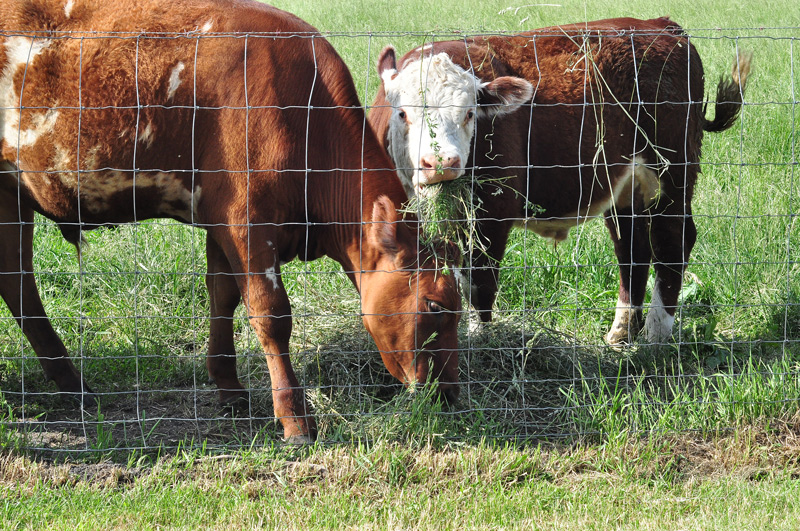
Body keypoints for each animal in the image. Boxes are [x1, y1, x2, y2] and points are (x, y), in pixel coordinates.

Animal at [0, 0, 462, 443]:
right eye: (435, 305)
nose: (450, 395)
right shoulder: (248, 223)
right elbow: (271, 315)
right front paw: (294, 419)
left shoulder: (221, 220)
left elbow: (222, 296)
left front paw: (229, 387)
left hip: (12, 198)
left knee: (16, 282)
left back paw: (71, 382)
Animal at [369, 17, 751, 346]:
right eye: (402, 113)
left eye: (469, 113)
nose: (442, 163)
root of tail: (660, 25)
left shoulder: (493, 212)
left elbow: (480, 283)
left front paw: (482, 342)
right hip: (626, 187)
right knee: (632, 249)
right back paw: (621, 332)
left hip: (672, 173)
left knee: (673, 241)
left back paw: (657, 336)